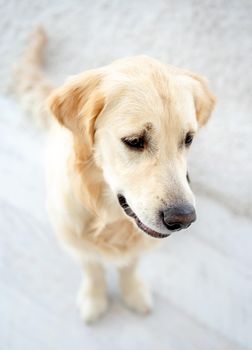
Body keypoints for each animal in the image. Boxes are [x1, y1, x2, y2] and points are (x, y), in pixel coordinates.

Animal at [13, 27, 215, 322]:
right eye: (134, 141)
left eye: (188, 138)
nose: (183, 219)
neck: (108, 216)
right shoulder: (77, 240)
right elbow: (93, 269)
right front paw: (94, 299)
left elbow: (129, 266)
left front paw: (133, 292)